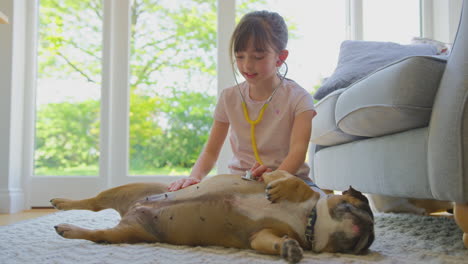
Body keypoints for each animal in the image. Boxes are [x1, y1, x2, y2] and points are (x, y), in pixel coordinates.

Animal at [50, 170, 372, 262]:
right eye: (362, 205)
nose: (369, 233)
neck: (310, 220)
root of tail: (133, 209)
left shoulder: (260, 235)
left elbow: (272, 241)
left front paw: (288, 249)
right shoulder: (274, 174)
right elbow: (292, 181)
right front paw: (283, 188)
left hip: (128, 233)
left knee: (98, 232)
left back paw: (67, 228)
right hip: (130, 188)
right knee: (93, 201)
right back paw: (61, 202)